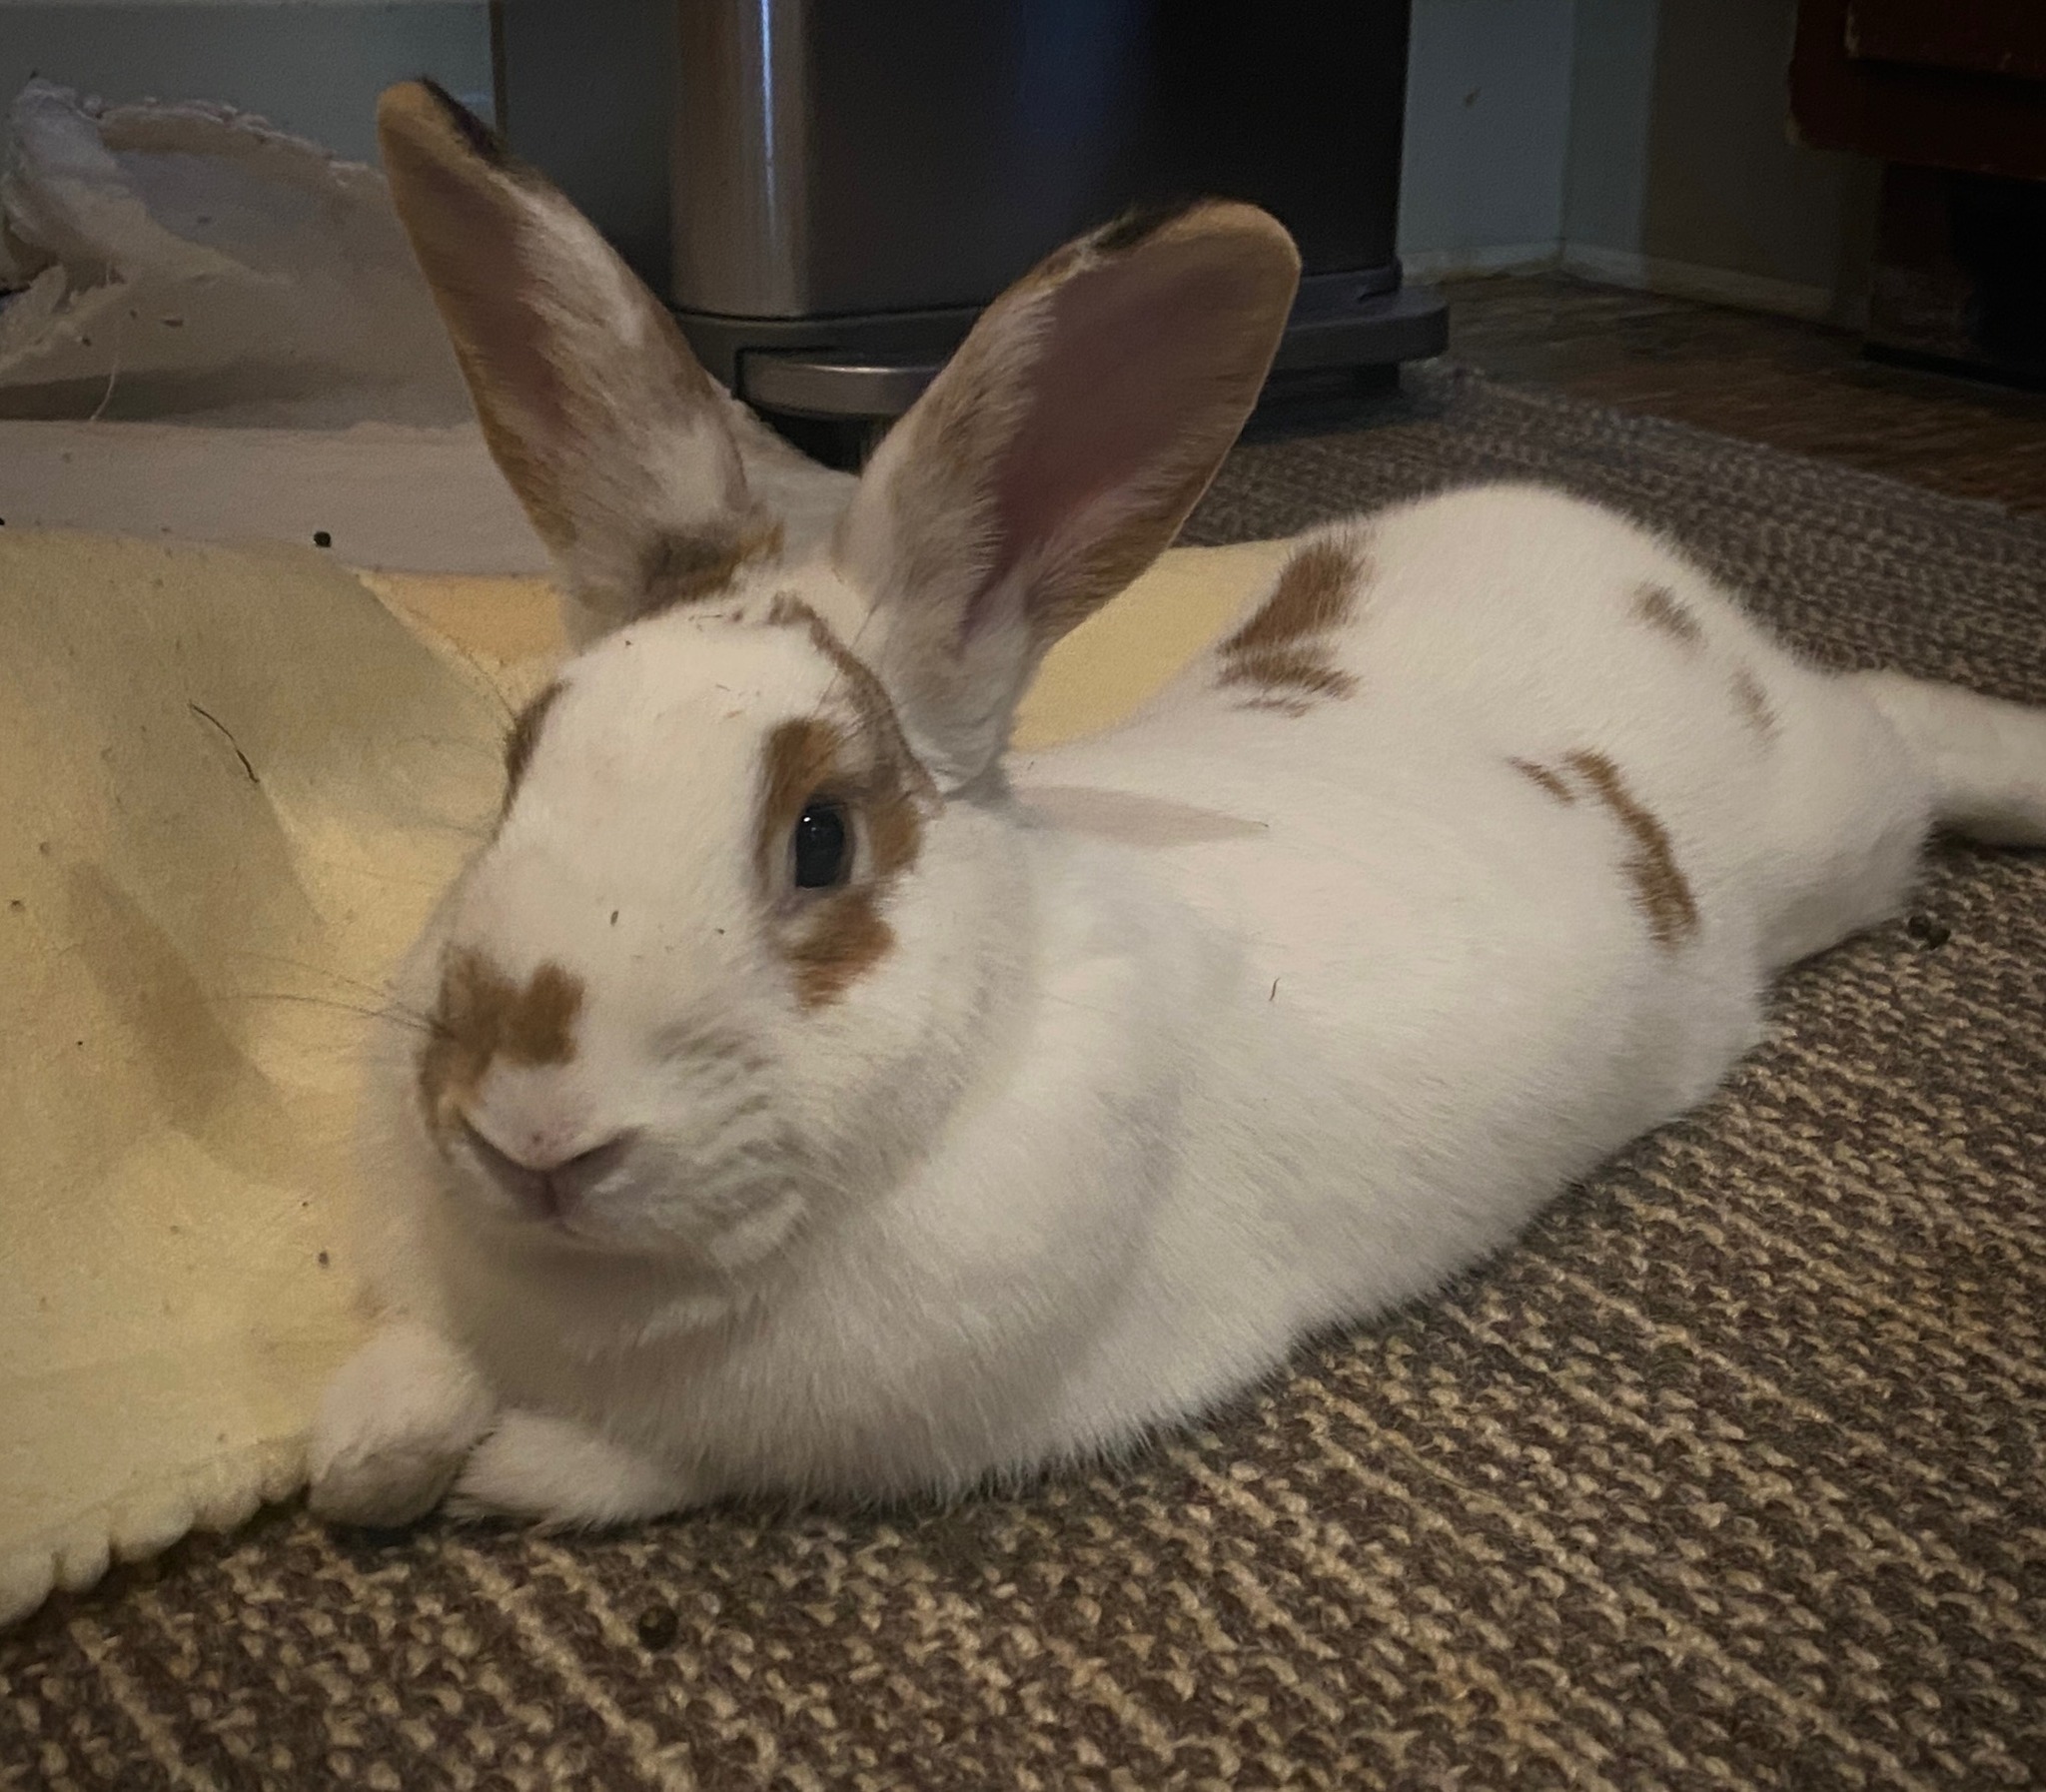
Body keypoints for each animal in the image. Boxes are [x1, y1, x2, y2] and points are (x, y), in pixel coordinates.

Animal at [308, 81, 2046, 1531]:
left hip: (1834, 823)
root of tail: (1652, 567)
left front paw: (496, 1471)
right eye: (518, 765)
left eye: (821, 836)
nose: (535, 1130)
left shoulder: (860, 1426)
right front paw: (369, 1447)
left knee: (1904, 730)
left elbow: (629, 1462)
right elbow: (406, 1380)